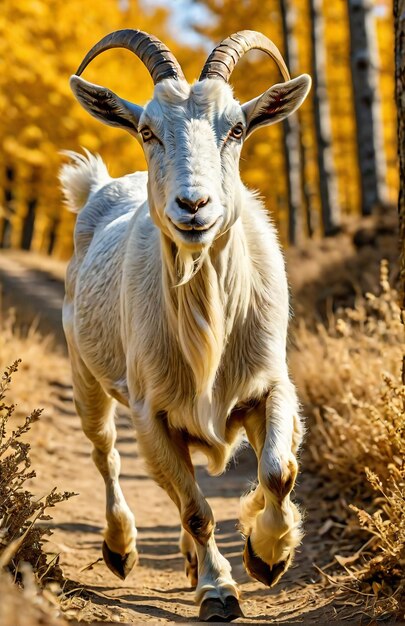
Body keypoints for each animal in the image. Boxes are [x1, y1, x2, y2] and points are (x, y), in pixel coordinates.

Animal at [61, 28, 310, 620]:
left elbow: (278, 470)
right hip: (85, 375)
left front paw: (269, 553)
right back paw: (122, 548)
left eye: (237, 128)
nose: (193, 205)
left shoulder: (271, 385)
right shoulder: (152, 414)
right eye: (147, 130)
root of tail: (99, 187)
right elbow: (197, 509)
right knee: (107, 454)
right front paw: (220, 591)